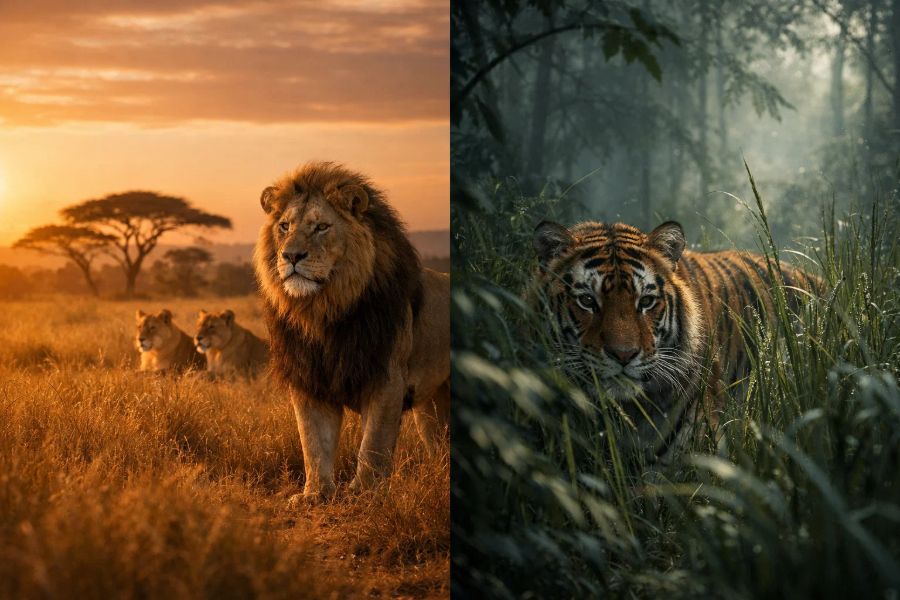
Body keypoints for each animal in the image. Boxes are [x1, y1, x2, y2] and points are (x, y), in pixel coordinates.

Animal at [253, 161, 450, 504]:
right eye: (285, 227)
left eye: (321, 227)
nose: (291, 256)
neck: (323, 313)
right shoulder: (310, 380)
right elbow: (313, 442)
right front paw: (315, 494)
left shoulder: (387, 377)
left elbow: (374, 444)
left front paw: (366, 492)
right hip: (431, 407)